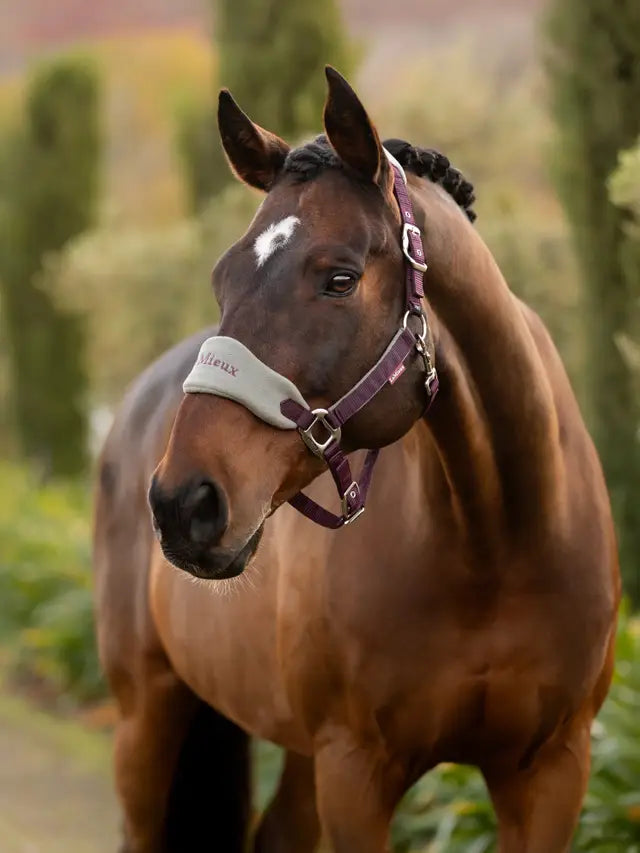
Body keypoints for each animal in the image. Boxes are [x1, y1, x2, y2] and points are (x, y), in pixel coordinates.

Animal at [94, 67, 620, 853]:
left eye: (339, 278)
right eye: (223, 278)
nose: (184, 503)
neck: (497, 543)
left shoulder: (554, 772)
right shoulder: (356, 770)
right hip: (147, 713)